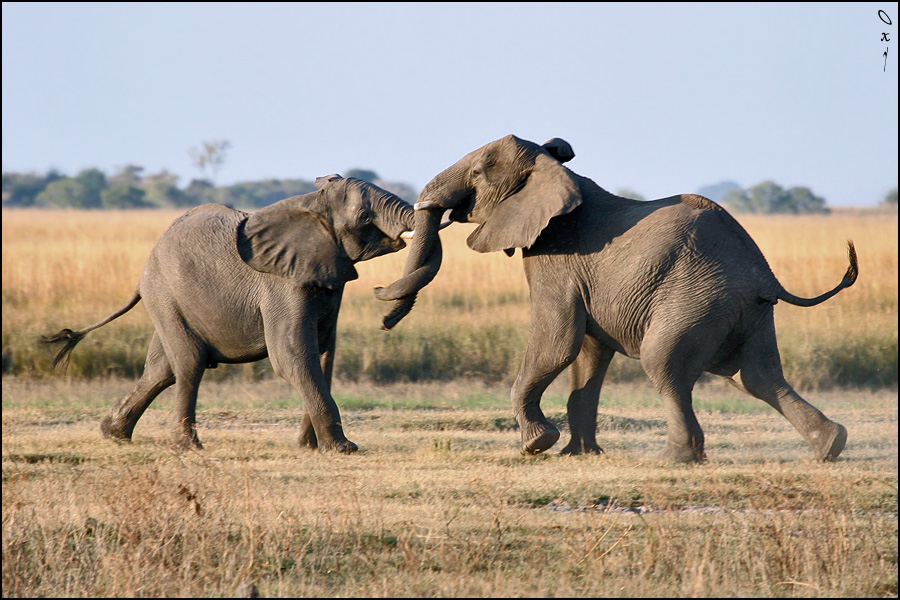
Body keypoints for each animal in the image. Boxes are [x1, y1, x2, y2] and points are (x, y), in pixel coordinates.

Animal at [44, 176, 442, 452]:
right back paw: (188, 447)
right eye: (363, 216)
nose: (384, 314)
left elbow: (324, 352)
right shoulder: (282, 283)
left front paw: (310, 447)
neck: (312, 207)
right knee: (189, 363)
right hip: (166, 292)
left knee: (162, 368)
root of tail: (143, 274)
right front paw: (344, 450)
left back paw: (113, 435)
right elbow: (292, 355)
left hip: (171, 299)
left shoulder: (329, 275)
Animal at [380, 135, 856, 464]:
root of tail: (765, 274)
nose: (383, 312)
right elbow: (588, 353)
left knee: (665, 364)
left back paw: (674, 459)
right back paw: (830, 446)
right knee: (757, 376)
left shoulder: (555, 258)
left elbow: (558, 341)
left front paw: (538, 445)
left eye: (479, 173)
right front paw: (577, 454)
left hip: (696, 299)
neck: (551, 169)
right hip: (746, 312)